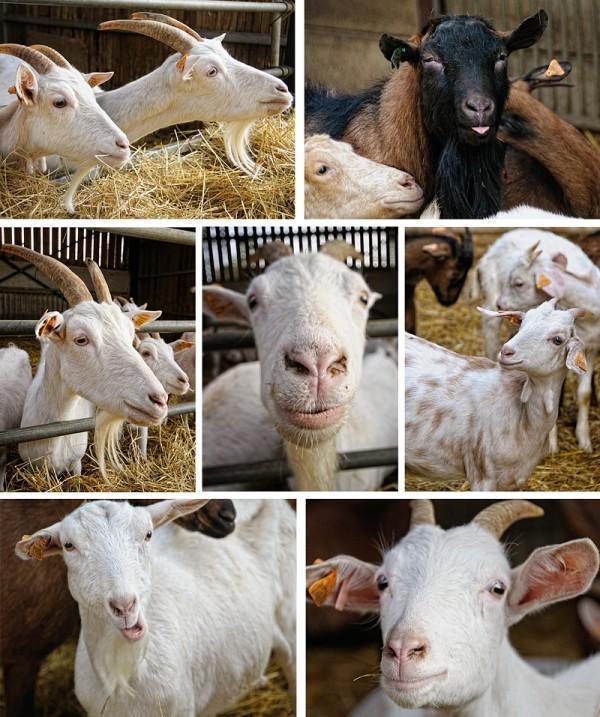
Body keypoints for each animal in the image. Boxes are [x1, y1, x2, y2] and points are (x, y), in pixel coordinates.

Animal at [474, 229, 600, 453]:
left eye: (518, 283)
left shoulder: (589, 348)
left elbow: (583, 394)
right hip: (489, 306)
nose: (501, 304)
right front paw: (551, 445)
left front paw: (584, 441)